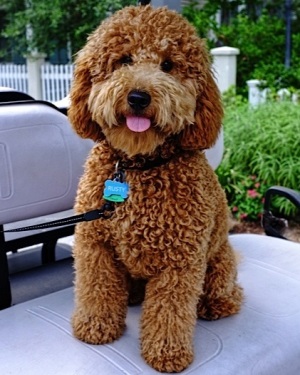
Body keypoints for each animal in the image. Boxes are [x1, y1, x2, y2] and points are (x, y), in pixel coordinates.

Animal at [68, 3, 244, 374]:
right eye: (123, 60)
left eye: (168, 65)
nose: (138, 96)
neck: (137, 168)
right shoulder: (95, 243)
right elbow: (96, 288)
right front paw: (95, 326)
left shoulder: (181, 260)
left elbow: (169, 310)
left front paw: (166, 352)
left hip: (219, 262)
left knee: (228, 295)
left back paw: (213, 306)